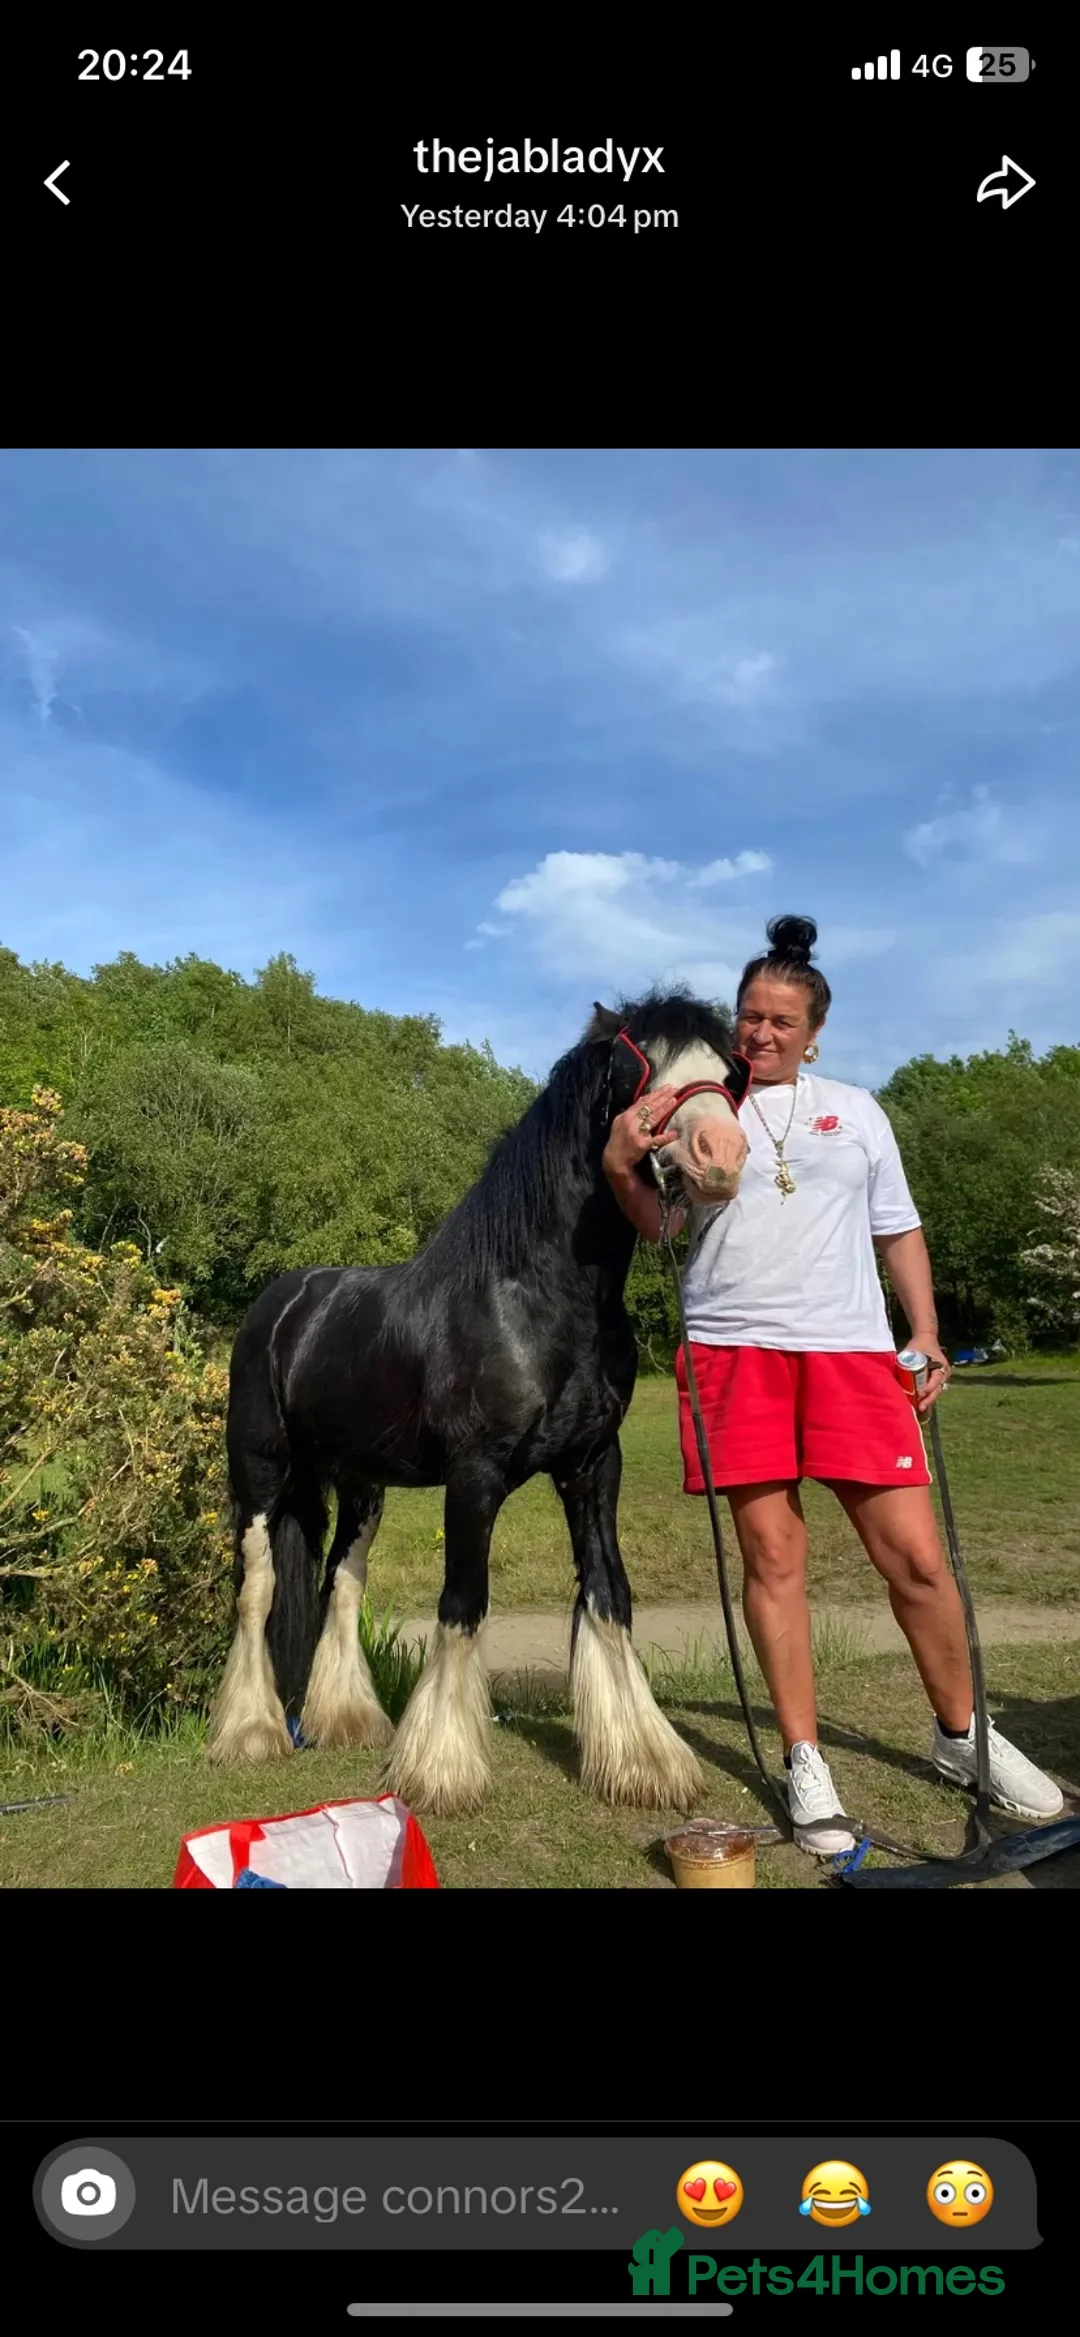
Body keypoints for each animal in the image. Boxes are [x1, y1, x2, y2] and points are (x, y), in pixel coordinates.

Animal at [205, 990, 752, 1817]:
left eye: (728, 1070)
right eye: (641, 1067)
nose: (722, 1153)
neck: (533, 1301)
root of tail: (284, 1303)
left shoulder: (594, 1466)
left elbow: (609, 1594)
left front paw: (643, 1759)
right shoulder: (475, 1475)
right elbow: (463, 1601)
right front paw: (441, 1769)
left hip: (362, 1486)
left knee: (340, 1582)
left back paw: (347, 1718)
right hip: (262, 1477)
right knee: (259, 1588)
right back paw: (250, 1731)